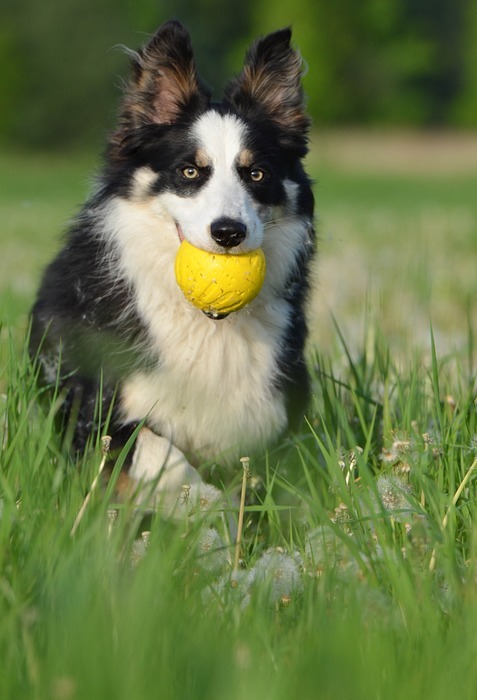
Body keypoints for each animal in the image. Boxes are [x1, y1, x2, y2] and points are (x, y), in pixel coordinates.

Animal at [29, 19, 314, 516]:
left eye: (256, 174)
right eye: (190, 172)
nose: (228, 232)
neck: (206, 325)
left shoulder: (275, 408)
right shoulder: (86, 409)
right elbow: (157, 449)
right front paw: (203, 500)